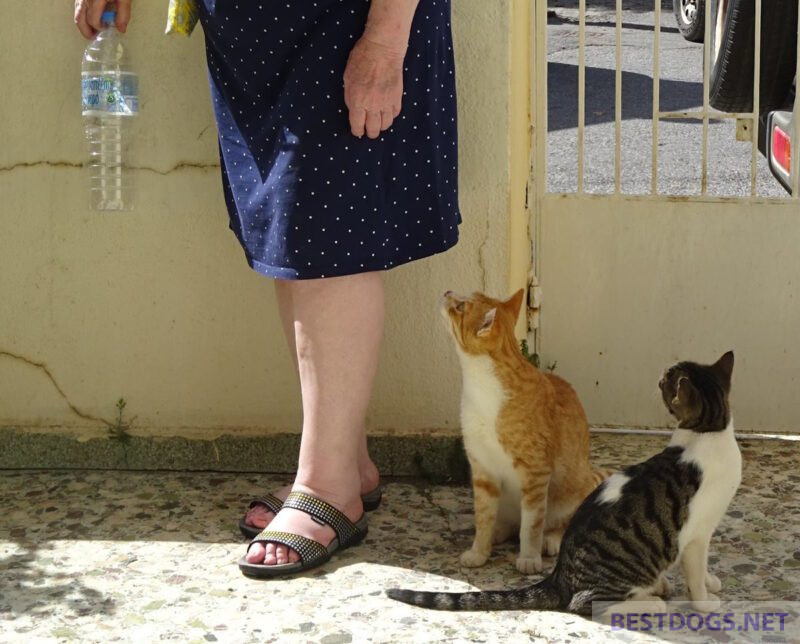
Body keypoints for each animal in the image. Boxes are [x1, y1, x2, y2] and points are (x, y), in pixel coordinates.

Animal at [386, 352, 736, 612]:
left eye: (666, 379)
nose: (659, 375)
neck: (707, 431)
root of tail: (560, 575)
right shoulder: (696, 533)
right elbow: (695, 570)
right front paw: (705, 602)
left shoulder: (700, 535)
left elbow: (701, 567)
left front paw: (709, 582)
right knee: (586, 603)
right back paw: (652, 601)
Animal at [444, 290, 608, 572]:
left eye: (461, 306)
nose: (447, 293)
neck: (482, 388)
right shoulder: (482, 469)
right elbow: (483, 517)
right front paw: (479, 550)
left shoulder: (535, 472)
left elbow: (531, 524)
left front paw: (530, 557)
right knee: (509, 524)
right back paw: (499, 531)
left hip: (569, 494)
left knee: (560, 524)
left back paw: (550, 539)